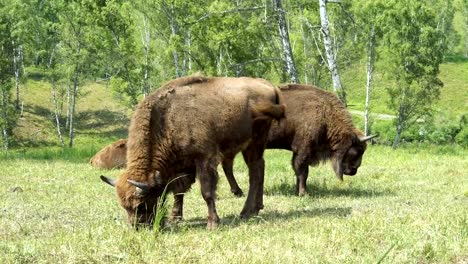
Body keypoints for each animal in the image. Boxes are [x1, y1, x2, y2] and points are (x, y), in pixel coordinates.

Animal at [100, 75, 286, 228]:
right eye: (124, 206)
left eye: (141, 205)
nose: (139, 227)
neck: (168, 119)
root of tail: (269, 86)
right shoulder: (181, 166)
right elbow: (178, 191)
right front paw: (175, 217)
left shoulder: (204, 159)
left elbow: (207, 191)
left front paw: (212, 223)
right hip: (251, 146)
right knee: (259, 168)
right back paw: (256, 208)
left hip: (254, 142)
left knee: (255, 172)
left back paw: (245, 212)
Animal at [223, 83, 376, 197]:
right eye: (357, 151)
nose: (354, 171)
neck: (325, 113)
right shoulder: (304, 149)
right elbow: (302, 171)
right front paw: (304, 193)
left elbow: (298, 171)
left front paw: (297, 191)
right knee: (227, 166)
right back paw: (238, 192)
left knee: (227, 166)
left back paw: (238, 192)